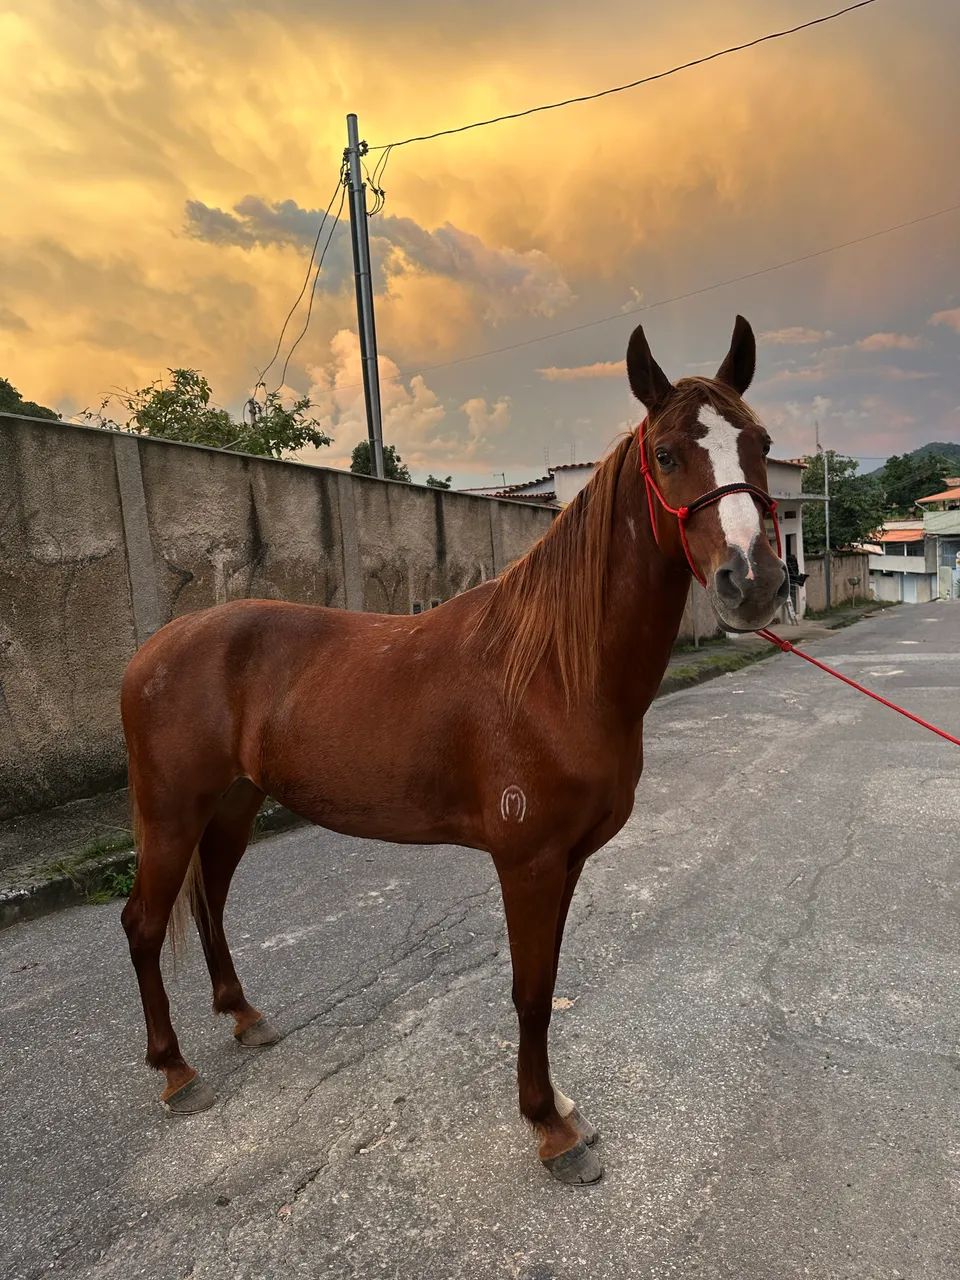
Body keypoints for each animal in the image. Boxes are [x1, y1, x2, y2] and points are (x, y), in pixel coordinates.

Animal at [120, 316, 788, 1185]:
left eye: (759, 443)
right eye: (670, 453)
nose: (755, 582)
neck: (554, 670)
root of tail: (154, 649)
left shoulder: (568, 858)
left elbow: (546, 980)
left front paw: (558, 1106)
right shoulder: (529, 860)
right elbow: (531, 991)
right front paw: (550, 1128)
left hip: (232, 805)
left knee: (208, 906)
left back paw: (244, 1016)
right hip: (170, 814)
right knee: (143, 924)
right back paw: (174, 1070)